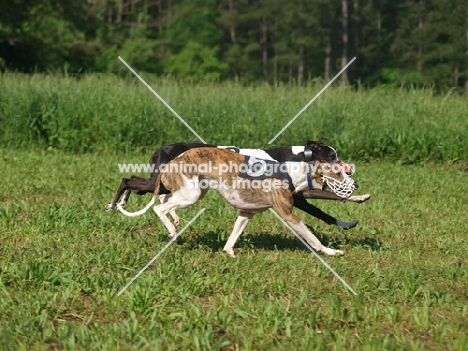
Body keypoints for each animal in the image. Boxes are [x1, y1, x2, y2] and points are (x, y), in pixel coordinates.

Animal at [105, 142, 362, 230]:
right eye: (332, 157)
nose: (350, 173)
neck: (297, 156)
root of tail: (162, 149)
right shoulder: (297, 196)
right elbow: (323, 206)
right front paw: (346, 220)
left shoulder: (299, 192)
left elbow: (326, 196)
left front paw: (356, 199)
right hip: (163, 182)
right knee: (128, 181)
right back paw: (114, 203)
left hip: (168, 184)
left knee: (140, 186)